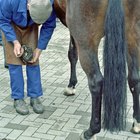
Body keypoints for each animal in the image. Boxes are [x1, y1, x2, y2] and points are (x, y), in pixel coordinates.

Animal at [53, 0, 140, 139]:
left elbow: (72, 53)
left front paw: (71, 86)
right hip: (131, 34)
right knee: (134, 78)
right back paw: (136, 123)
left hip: (86, 40)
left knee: (96, 82)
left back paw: (91, 131)